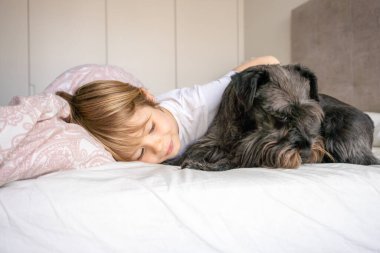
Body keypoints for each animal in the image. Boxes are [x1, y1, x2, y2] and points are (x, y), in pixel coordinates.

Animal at [167, 63, 380, 171]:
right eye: (282, 116)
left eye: (310, 116)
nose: (306, 151)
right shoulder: (212, 142)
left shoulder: (253, 153)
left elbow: (233, 160)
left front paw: (204, 165)